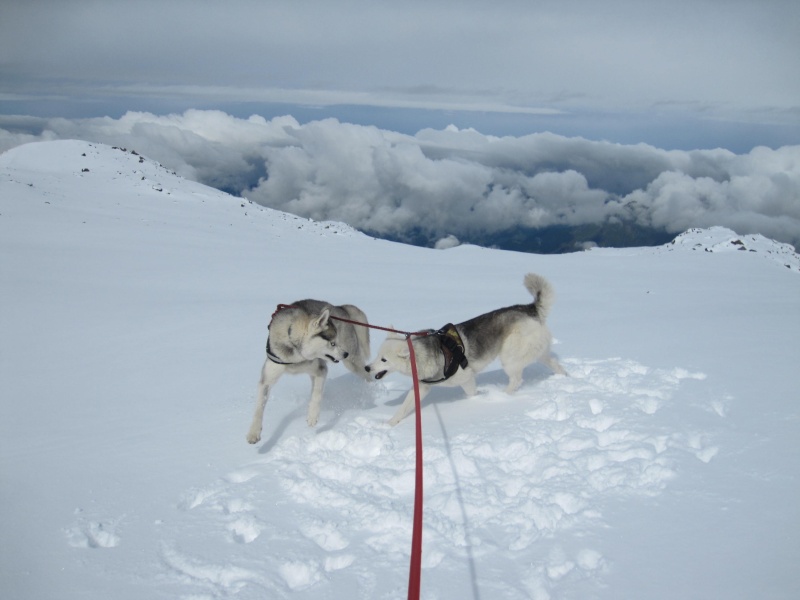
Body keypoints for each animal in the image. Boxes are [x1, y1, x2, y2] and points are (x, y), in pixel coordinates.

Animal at [245, 300, 370, 446]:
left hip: (352, 363)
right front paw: (254, 432)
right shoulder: (267, 379)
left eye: (336, 341)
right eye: (332, 343)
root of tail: (340, 307)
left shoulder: (321, 369)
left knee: (368, 376)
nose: (345, 354)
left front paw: (312, 416)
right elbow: (259, 407)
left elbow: (316, 395)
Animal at [366, 274, 564, 424]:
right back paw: (564, 377)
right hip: (537, 353)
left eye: (384, 359)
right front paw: (389, 424)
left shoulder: (466, 378)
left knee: (516, 379)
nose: (367, 367)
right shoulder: (421, 388)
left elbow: (472, 394)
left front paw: (478, 402)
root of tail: (529, 308)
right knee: (555, 364)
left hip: (509, 357)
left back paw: (502, 396)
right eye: (377, 355)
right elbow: (404, 408)